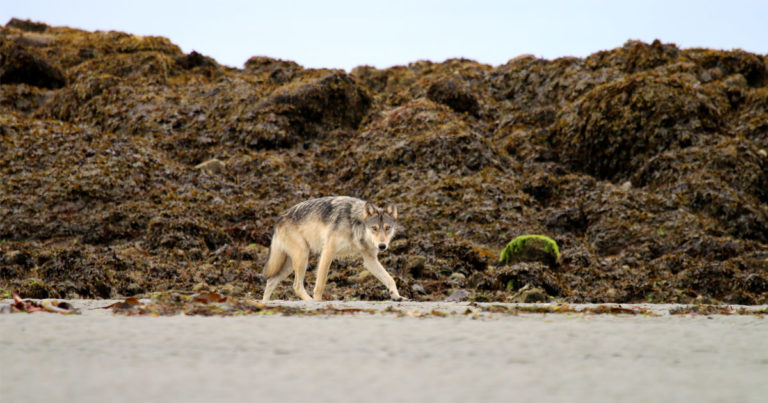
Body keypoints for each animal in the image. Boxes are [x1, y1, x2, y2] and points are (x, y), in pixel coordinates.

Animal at [261, 196, 406, 301]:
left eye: (387, 228)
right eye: (374, 228)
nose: (382, 246)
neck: (354, 224)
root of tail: (280, 218)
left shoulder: (370, 260)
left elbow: (390, 279)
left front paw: (397, 296)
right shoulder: (327, 251)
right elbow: (320, 284)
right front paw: (318, 302)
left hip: (291, 264)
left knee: (271, 281)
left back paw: (265, 303)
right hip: (302, 257)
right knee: (296, 286)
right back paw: (310, 301)